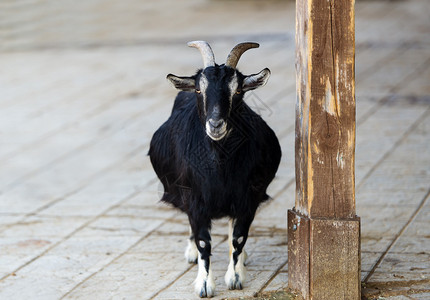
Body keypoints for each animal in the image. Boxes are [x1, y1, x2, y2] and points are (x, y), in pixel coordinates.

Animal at [149, 41, 282, 298]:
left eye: (238, 91)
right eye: (199, 90)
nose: (216, 124)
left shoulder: (248, 197)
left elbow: (238, 237)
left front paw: (236, 278)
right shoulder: (194, 198)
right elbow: (203, 241)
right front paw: (204, 285)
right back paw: (191, 254)